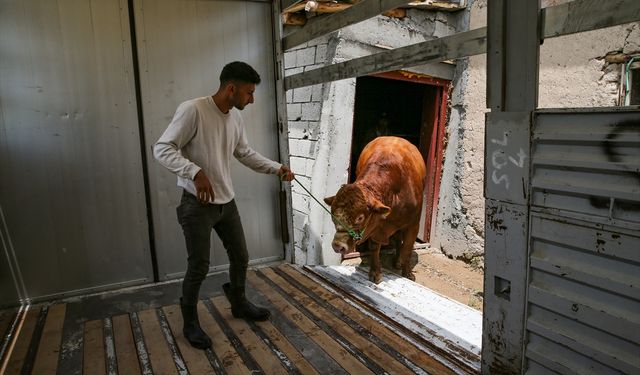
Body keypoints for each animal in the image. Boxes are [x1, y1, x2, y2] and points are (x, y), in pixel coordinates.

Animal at [324, 137, 424, 284]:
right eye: (333, 216)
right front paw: (375, 272)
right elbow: (375, 247)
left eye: (360, 218)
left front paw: (407, 273)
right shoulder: (375, 227)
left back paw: (398, 261)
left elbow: (408, 248)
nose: (338, 246)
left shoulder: (413, 224)